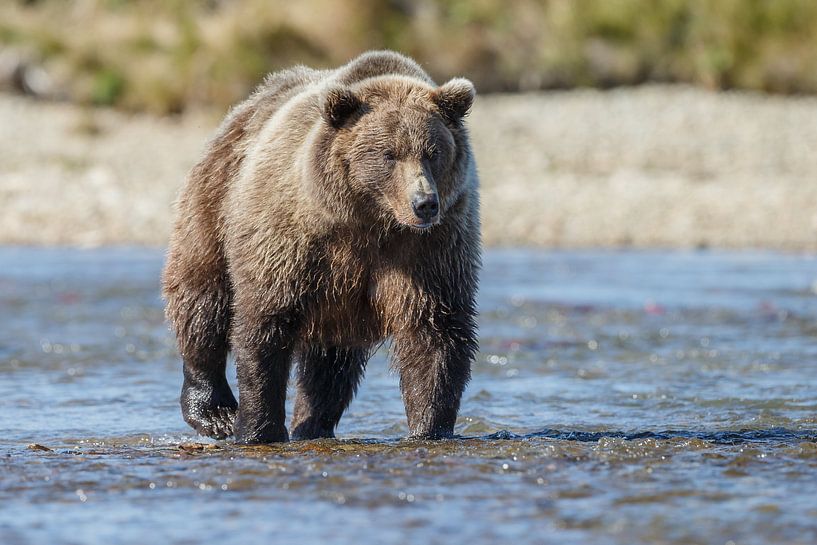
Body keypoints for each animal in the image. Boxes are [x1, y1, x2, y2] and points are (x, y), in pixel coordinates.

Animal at [161, 50, 478, 442]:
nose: (425, 204)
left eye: (433, 152)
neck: (370, 221)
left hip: (338, 302)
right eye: (388, 154)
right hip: (214, 202)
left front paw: (429, 428)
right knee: (203, 301)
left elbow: (434, 331)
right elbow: (265, 324)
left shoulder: (430, 250)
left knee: (330, 366)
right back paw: (215, 412)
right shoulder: (291, 241)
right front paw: (256, 429)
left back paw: (311, 425)